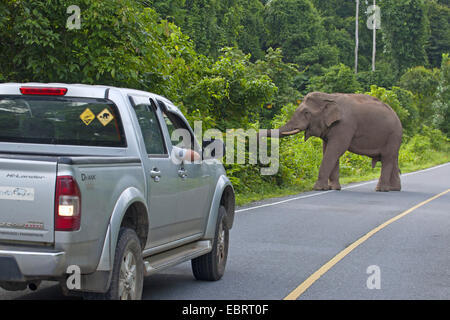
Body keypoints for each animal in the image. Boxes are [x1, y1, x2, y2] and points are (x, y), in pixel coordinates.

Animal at [266, 92, 402, 192]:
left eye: (306, 113)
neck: (329, 97)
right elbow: (329, 150)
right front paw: (333, 188)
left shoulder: (345, 125)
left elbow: (335, 150)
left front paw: (318, 188)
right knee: (392, 159)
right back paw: (394, 189)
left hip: (393, 135)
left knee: (387, 158)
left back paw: (380, 190)